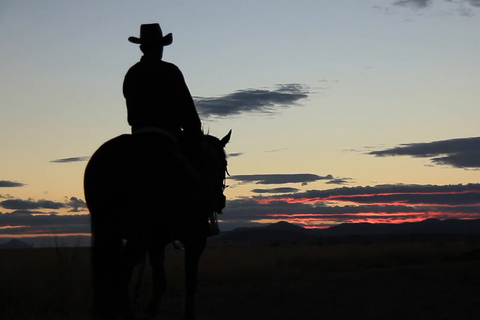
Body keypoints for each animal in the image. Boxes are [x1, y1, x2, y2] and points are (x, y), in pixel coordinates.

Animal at [84, 129, 231, 318]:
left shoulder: (156, 242)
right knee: (122, 273)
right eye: (224, 164)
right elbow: (189, 282)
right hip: (139, 235)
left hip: (110, 230)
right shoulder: (194, 240)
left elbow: (161, 280)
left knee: (115, 273)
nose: (219, 201)